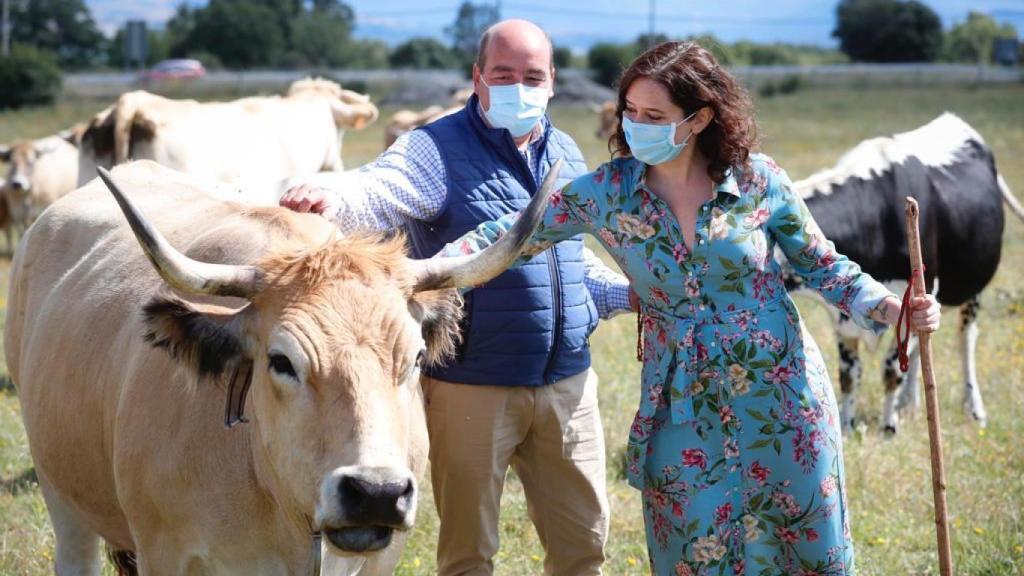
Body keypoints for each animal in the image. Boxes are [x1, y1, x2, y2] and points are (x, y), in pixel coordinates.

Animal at [778, 112, 1019, 432]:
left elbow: (891, 369)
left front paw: (888, 427)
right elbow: (849, 375)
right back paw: (912, 402)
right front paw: (848, 424)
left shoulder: (918, 293)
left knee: (965, 340)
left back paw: (974, 409)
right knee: (920, 351)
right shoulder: (842, 318)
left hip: (973, 284)